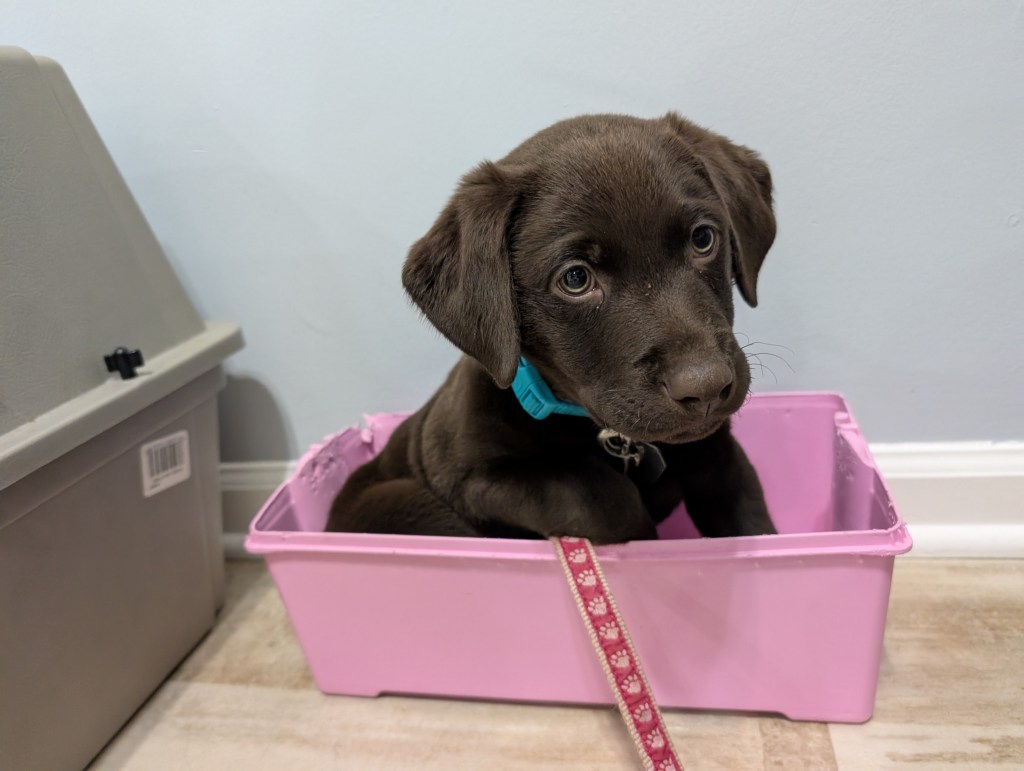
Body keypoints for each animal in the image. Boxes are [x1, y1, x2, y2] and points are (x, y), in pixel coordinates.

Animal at [327, 113, 777, 543]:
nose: (706, 387)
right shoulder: (469, 476)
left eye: (703, 239)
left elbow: (748, 511)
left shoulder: (717, 451)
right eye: (575, 279)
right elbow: (595, 493)